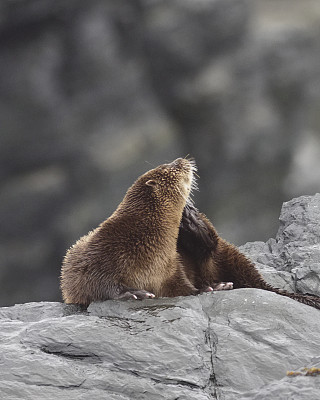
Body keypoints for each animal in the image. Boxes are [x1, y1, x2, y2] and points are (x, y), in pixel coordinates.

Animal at [60, 158, 230, 304]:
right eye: (166, 167)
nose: (181, 159)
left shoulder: (171, 268)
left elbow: (185, 287)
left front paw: (211, 287)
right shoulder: (98, 255)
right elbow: (96, 283)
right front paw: (133, 293)